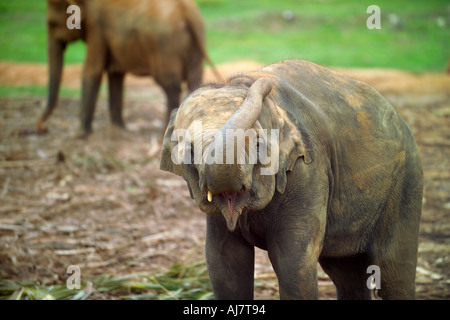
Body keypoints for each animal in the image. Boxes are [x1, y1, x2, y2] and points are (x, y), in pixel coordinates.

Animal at [39, 0, 219, 136]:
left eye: (52, 23)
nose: (42, 128)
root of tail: (187, 10)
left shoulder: (97, 29)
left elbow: (92, 70)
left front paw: (80, 136)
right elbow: (115, 75)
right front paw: (119, 130)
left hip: (165, 45)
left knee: (170, 87)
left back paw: (165, 132)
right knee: (192, 82)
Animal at [160, 60, 424, 300]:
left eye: (258, 144)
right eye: (189, 151)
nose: (258, 81)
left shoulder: (308, 171)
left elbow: (293, 263)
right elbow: (224, 263)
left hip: (406, 183)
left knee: (393, 273)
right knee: (346, 273)